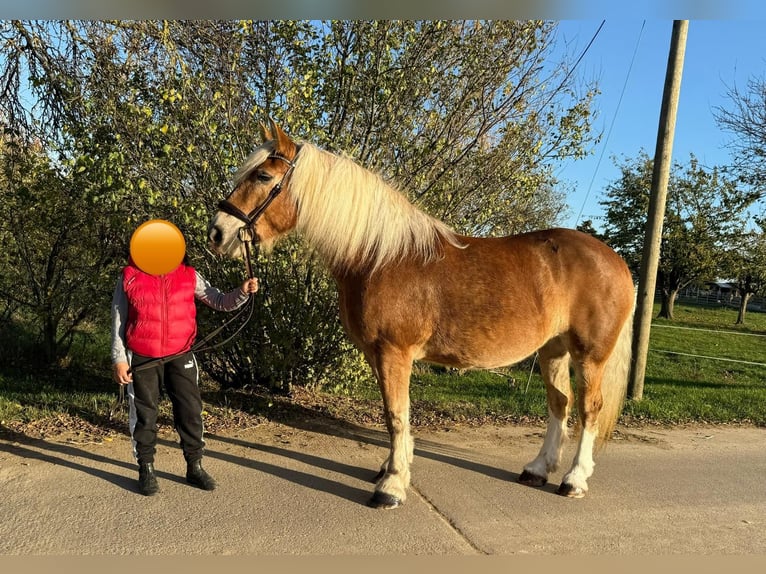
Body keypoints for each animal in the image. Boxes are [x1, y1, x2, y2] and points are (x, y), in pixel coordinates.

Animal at [207, 120, 640, 508]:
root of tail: (615, 260)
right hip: (553, 350)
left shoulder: (393, 352)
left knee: (588, 409)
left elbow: (396, 415)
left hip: (589, 355)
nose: (217, 233)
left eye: (263, 175)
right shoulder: (378, 355)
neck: (379, 256)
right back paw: (537, 469)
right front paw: (389, 469)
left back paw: (574, 480)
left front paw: (392, 486)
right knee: (559, 404)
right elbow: (393, 415)